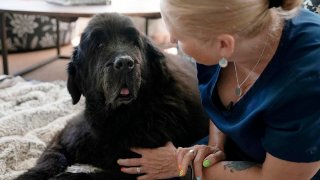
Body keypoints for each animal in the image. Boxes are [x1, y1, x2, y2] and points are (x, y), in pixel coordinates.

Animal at [16, 13, 209, 180]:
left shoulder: (139, 167)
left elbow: (90, 175)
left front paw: (66, 176)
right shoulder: (66, 135)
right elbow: (52, 158)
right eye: (98, 45)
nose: (124, 63)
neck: (116, 118)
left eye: (134, 43)